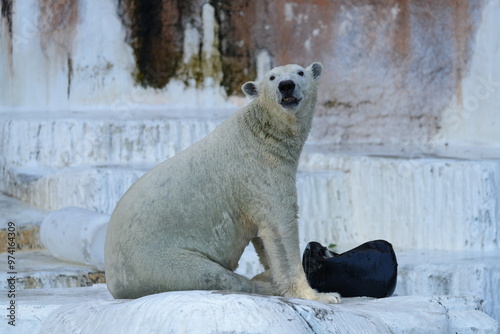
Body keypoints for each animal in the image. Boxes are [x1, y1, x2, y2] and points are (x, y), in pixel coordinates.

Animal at [104, 61, 342, 304]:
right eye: (272, 77)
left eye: (300, 72)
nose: (286, 86)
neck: (261, 134)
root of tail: (113, 280)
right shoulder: (259, 171)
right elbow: (280, 228)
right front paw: (321, 295)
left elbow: (264, 238)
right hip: (159, 262)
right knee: (213, 275)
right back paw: (261, 283)